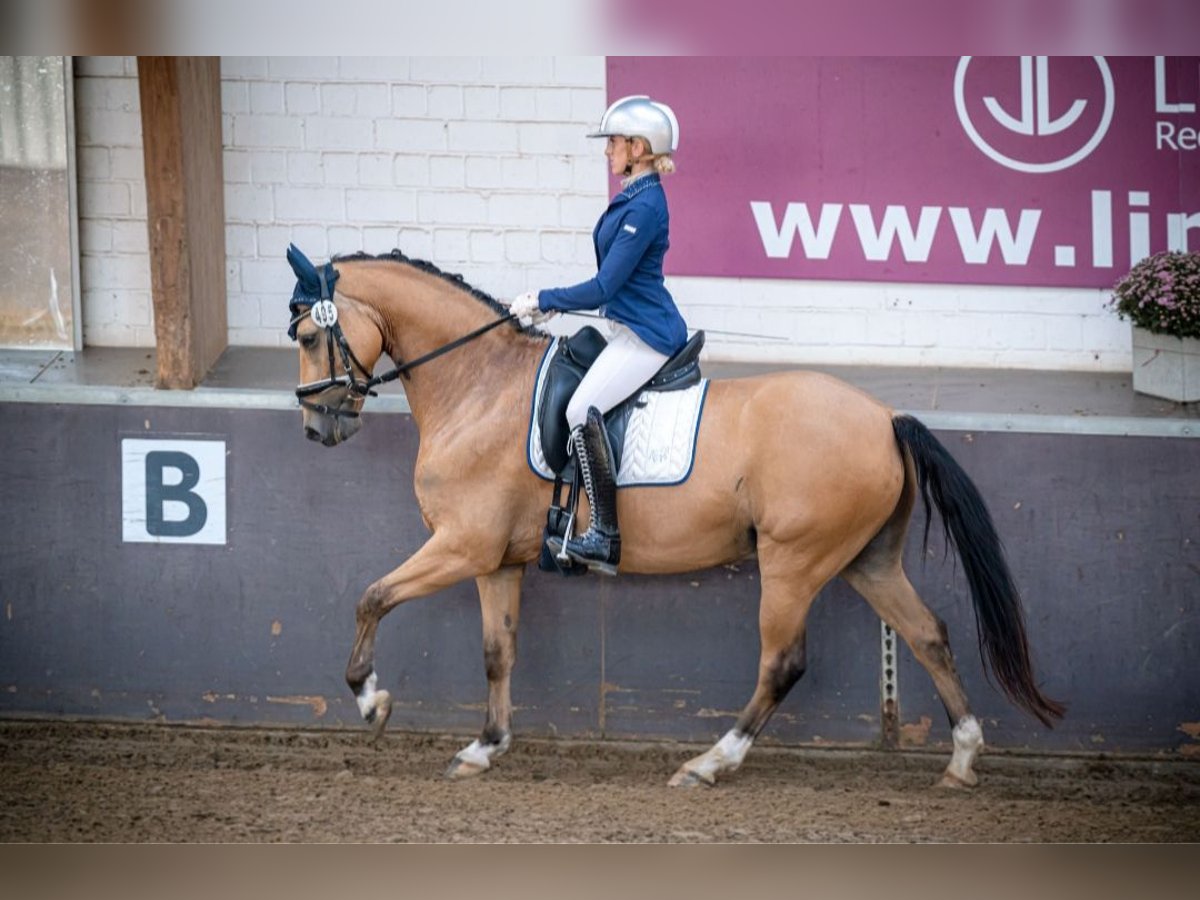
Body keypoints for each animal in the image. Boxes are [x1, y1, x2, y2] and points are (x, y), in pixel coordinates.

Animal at [285, 247, 1065, 787]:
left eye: (307, 336)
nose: (319, 428)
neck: (479, 385)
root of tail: (885, 417)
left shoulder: (461, 546)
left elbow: (372, 596)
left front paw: (372, 702)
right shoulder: (496, 559)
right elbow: (497, 652)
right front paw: (483, 748)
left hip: (794, 562)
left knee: (782, 663)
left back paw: (709, 763)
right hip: (867, 560)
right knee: (929, 635)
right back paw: (961, 760)